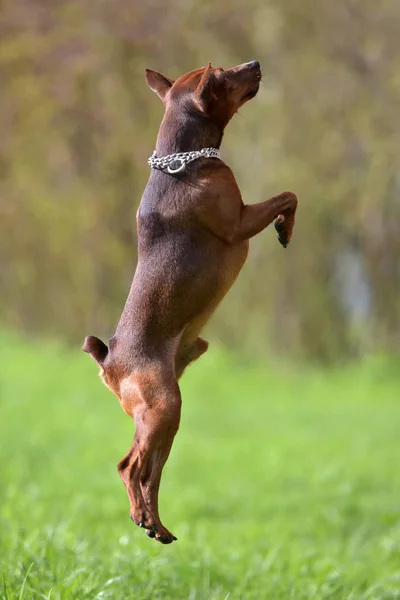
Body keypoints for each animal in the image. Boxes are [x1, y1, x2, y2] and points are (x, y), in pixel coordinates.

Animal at [83, 61, 296, 544]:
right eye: (221, 76)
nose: (255, 63)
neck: (182, 161)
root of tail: (109, 361)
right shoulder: (239, 222)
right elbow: (288, 195)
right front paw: (285, 225)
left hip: (164, 418)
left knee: (149, 472)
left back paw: (155, 525)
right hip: (163, 407)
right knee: (130, 467)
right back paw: (145, 518)